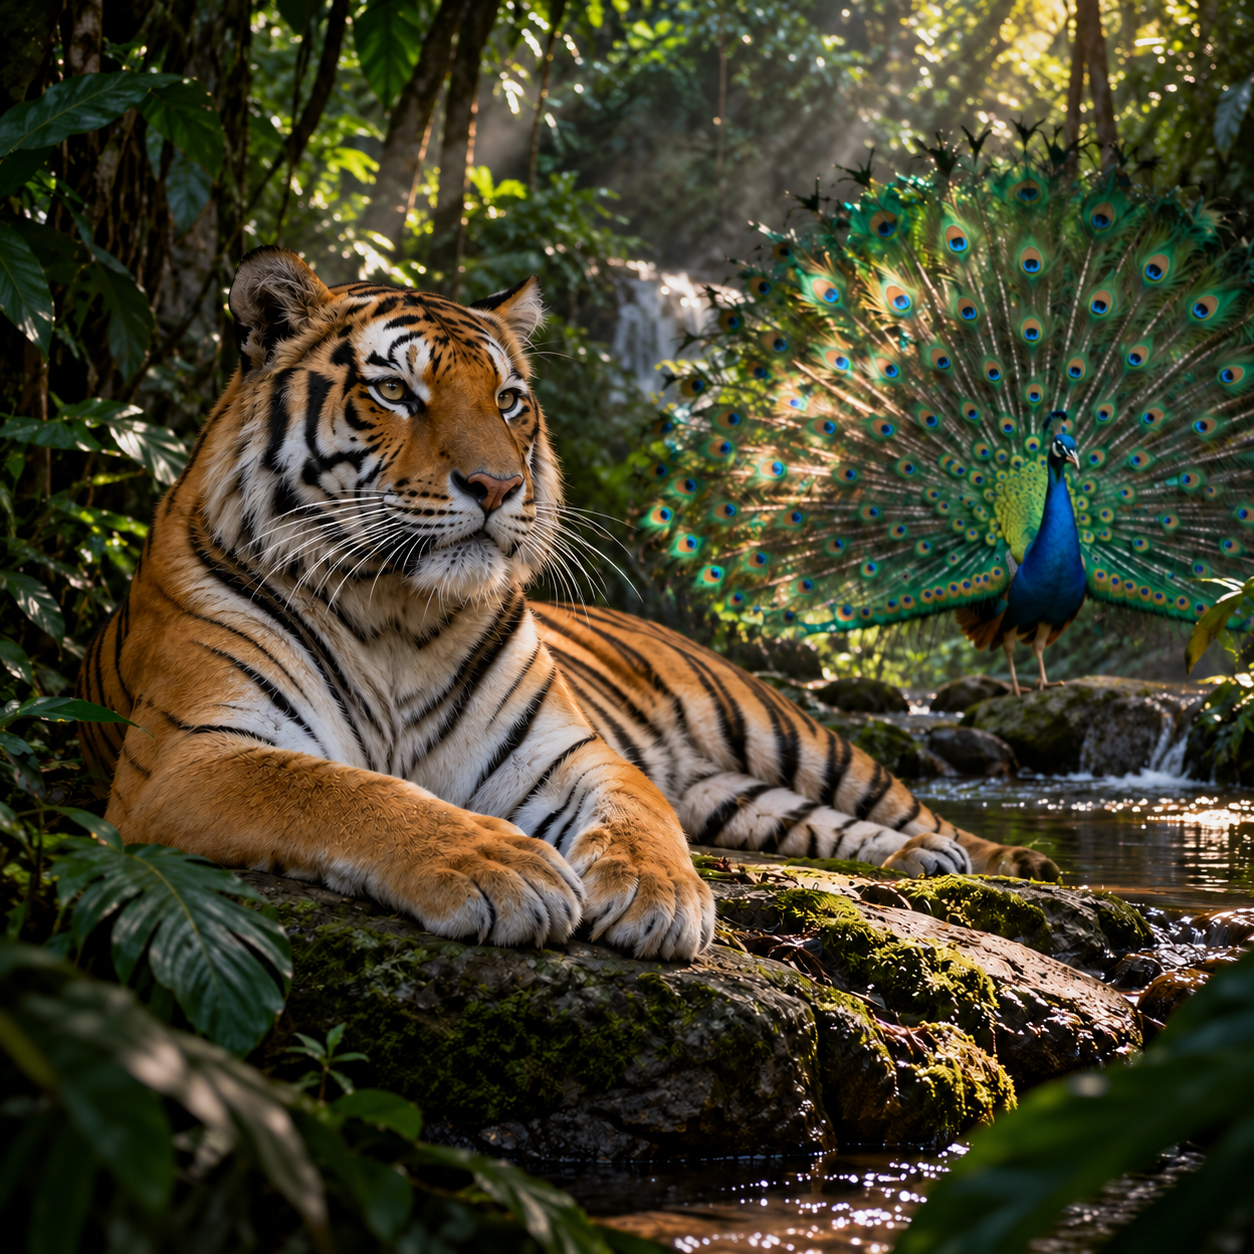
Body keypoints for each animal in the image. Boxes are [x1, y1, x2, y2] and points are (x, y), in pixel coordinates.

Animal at [77, 247, 1058, 965]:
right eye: (394, 390)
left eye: (509, 400)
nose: (496, 485)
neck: (397, 611)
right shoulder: (196, 755)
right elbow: (346, 792)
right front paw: (499, 867)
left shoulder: (567, 751)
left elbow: (636, 818)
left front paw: (660, 897)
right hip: (735, 796)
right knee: (814, 825)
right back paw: (928, 863)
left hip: (792, 735)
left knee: (910, 805)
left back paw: (1010, 861)